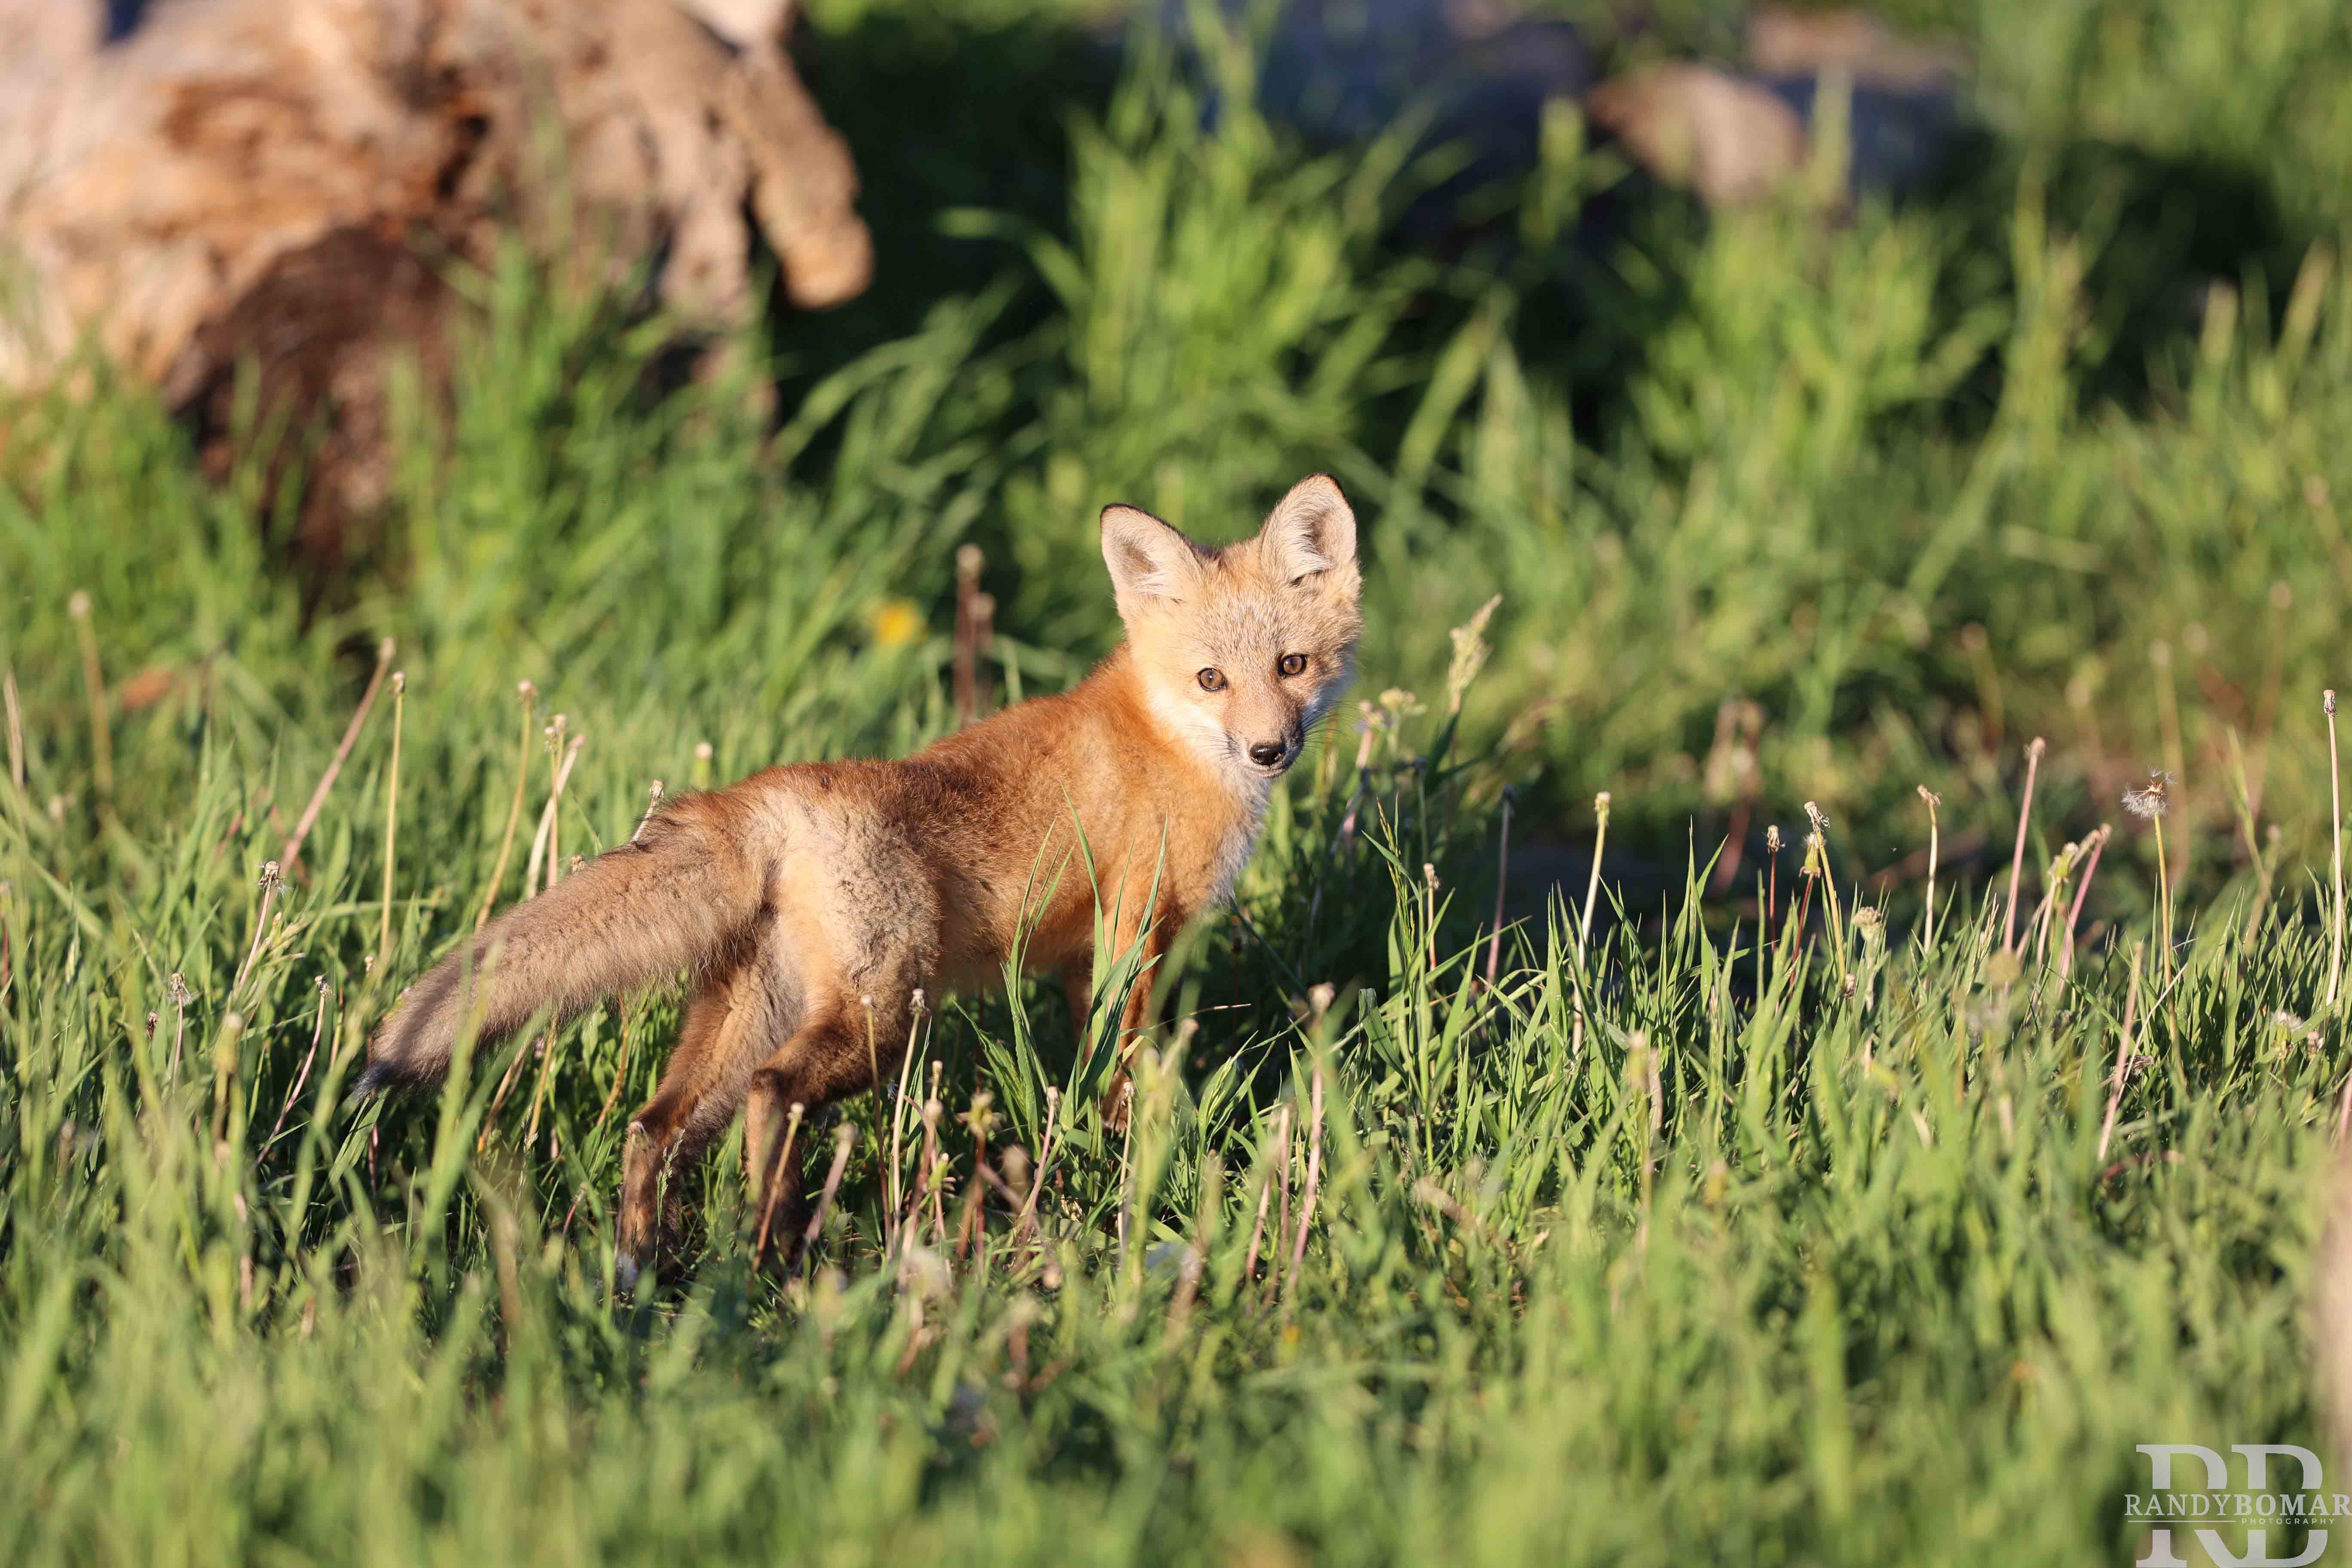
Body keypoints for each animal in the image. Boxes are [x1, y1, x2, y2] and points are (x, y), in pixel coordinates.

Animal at [357, 472, 1363, 1285]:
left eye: (1292, 665)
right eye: (1210, 679)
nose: (1269, 750)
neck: (1164, 738)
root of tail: (767, 795)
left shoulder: (1087, 961)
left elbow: (1088, 1070)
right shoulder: (1136, 932)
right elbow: (1121, 1073)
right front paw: (1128, 1166)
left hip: (754, 1014)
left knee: (655, 1125)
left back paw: (644, 1273)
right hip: (883, 1015)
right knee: (773, 1093)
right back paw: (773, 1252)